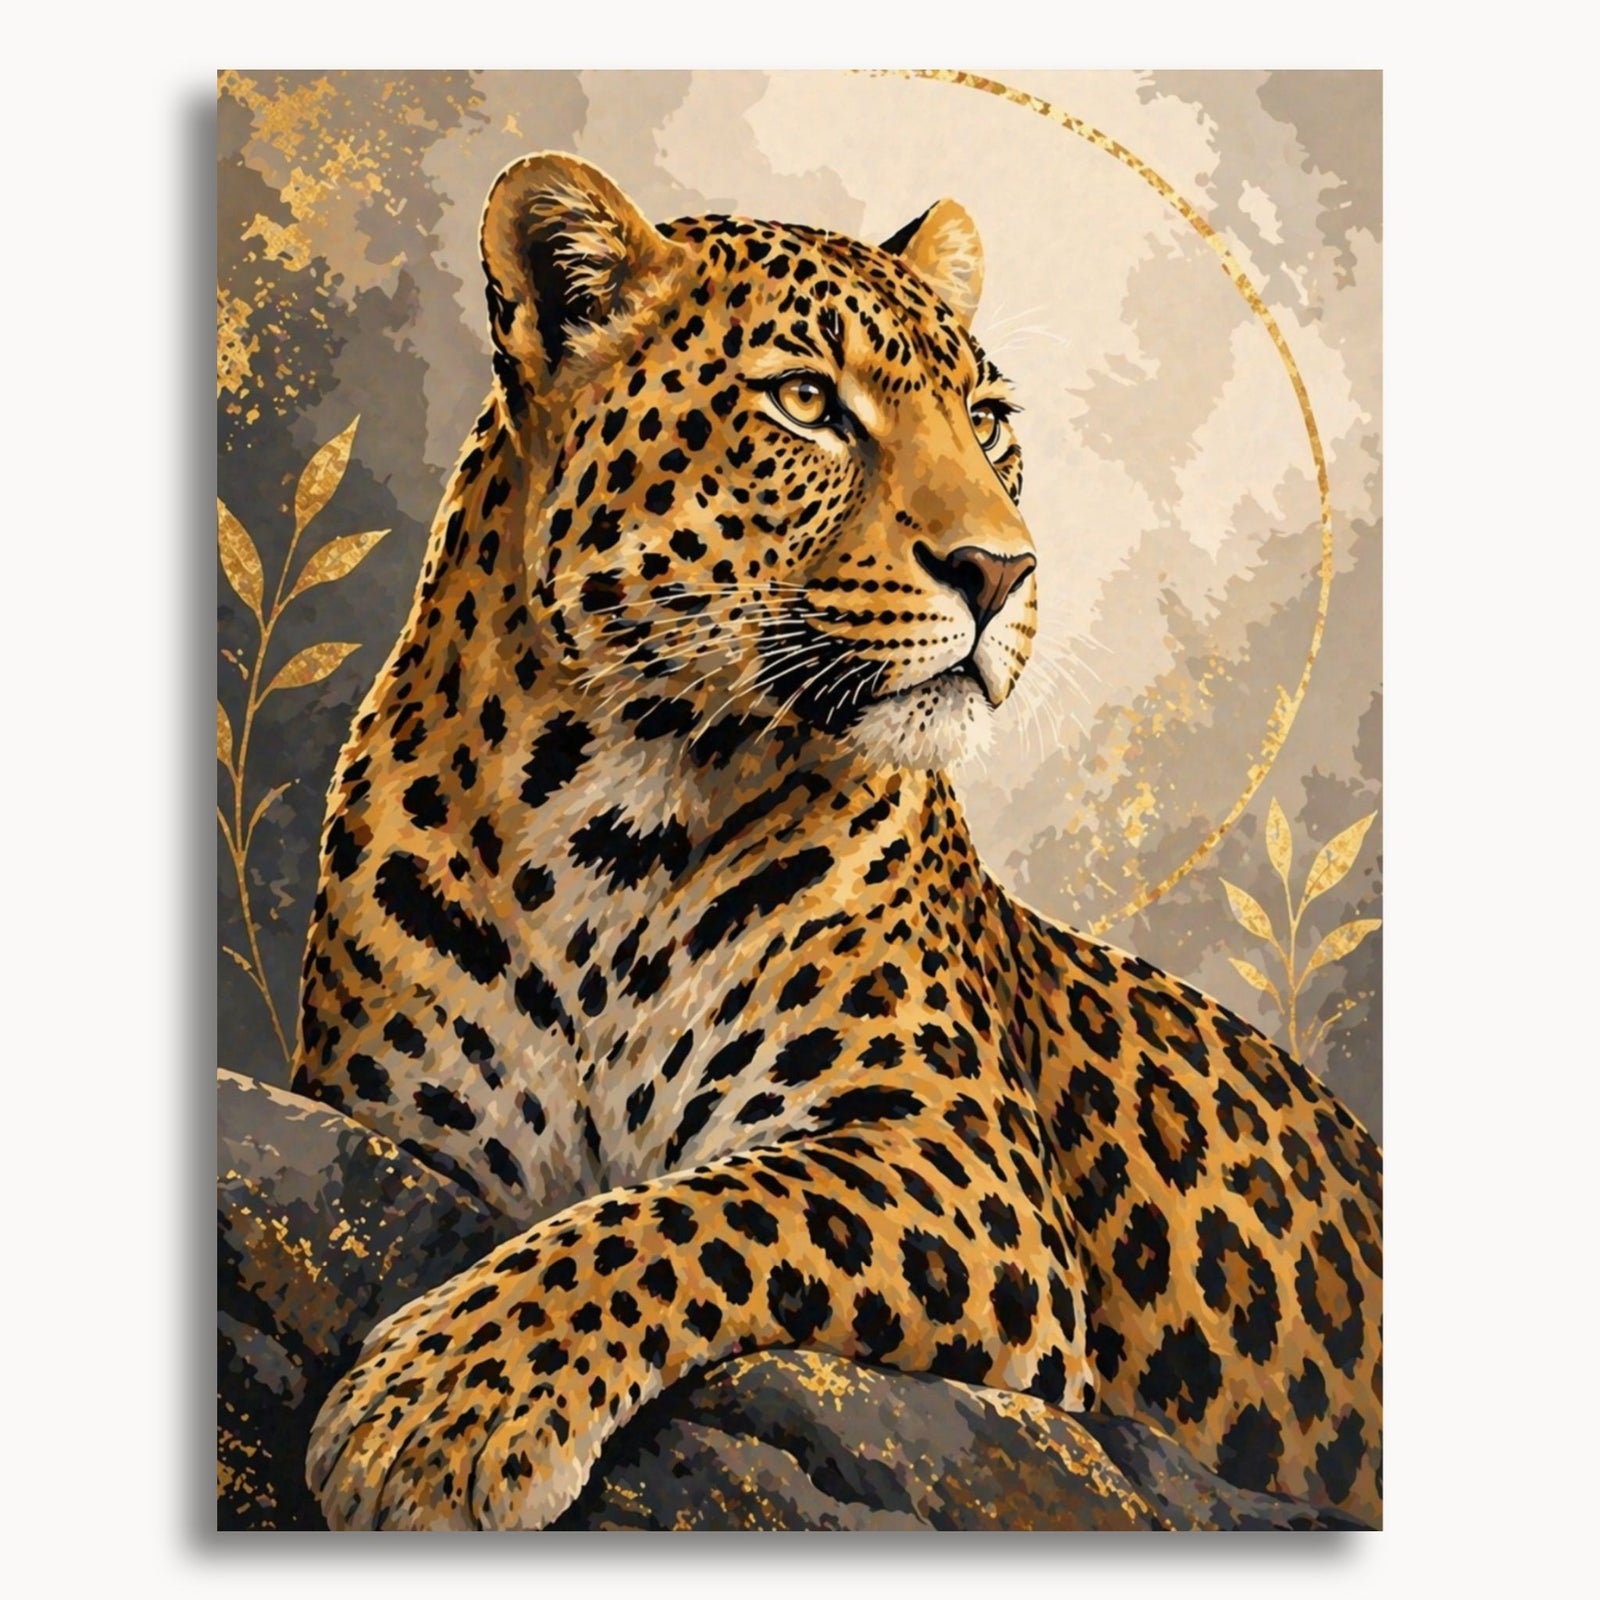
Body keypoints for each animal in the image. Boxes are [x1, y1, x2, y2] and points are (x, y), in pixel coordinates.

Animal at [291, 152, 1382, 1531]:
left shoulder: (961, 1160)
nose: (1003, 571)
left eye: (989, 420)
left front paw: (439, 1412)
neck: (612, 814)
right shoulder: (411, 1125)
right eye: (807, 401)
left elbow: (686, 1215)